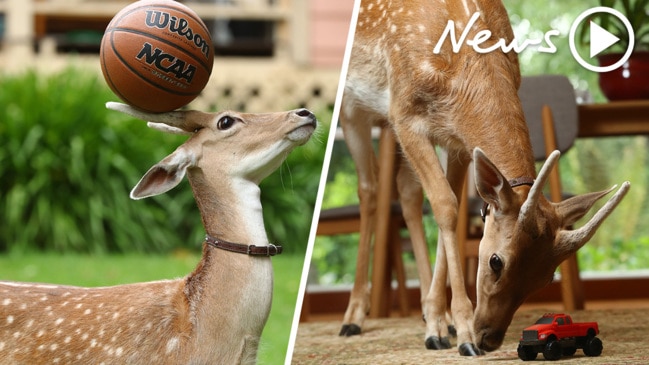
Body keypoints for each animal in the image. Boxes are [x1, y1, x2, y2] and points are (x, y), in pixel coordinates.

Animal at [336, 0, 632, 356]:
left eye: (547, 277)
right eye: (495, 262)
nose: (489, 339)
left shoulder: (457, 140)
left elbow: (449, 207)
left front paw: (440, 325)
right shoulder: (404, 114)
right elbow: (446, 207)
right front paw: (462, 334)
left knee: (407, 193)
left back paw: (428, 315)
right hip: (355, 110)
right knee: (368, 190)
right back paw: (353, 318)